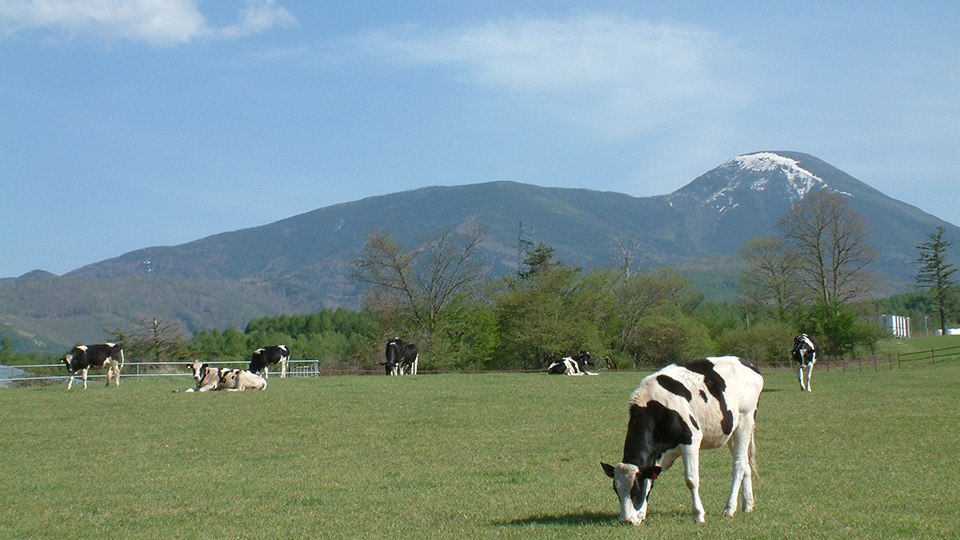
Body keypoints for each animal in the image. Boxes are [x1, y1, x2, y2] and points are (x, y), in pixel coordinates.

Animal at [600, 356, 764, 524]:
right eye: (616, 490)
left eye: (636, 490)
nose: (626, 520)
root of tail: (748, 363)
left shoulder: (691, 440)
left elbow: (691, 479)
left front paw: (698, 514)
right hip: (732, 431)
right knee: (745, 463)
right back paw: (747, 504)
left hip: (745, 421)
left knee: (739, 464)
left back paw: (729, 508)